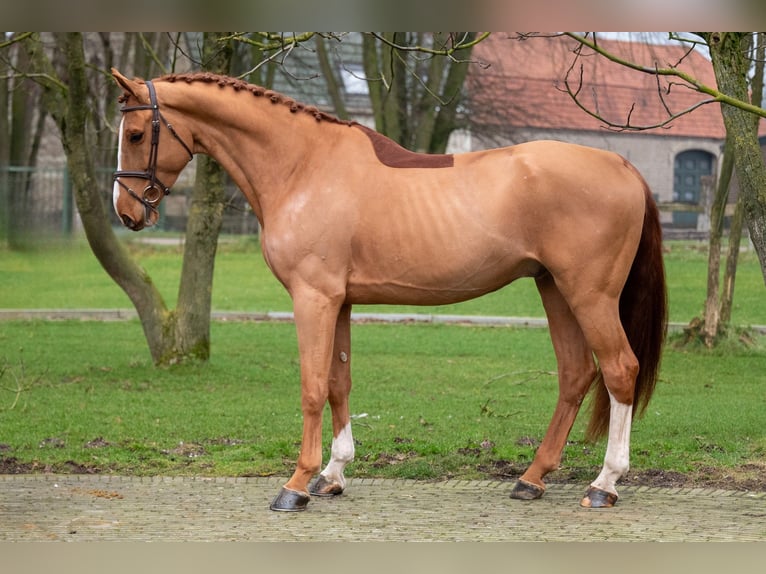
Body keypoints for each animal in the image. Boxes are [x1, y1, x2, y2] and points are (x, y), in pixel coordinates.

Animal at [111, 70, 668, 516]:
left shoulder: (312, 298)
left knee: (620, 370)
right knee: (575, 375)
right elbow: (339, 383)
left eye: (136, 133)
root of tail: (624, 168)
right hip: (555, 288)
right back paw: (532, 479)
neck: (303, 165)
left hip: (589, 294)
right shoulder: (339, 302)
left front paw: (296, 485)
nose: (127, 211)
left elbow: (312, 386)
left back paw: (604, 484)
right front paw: (333, 475)